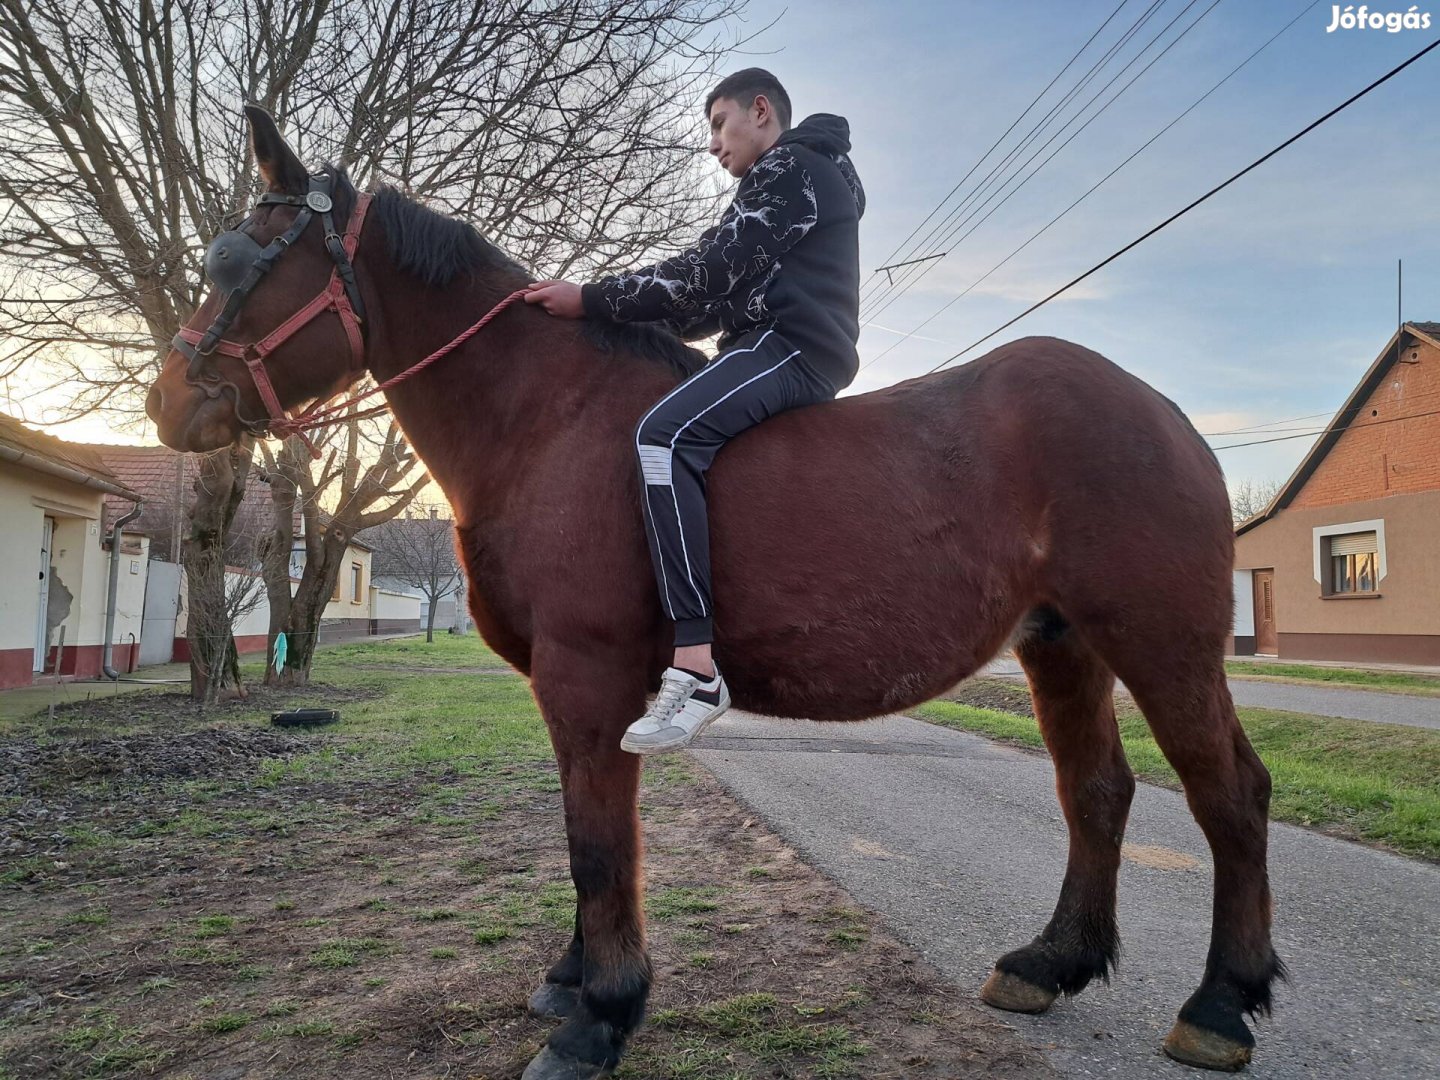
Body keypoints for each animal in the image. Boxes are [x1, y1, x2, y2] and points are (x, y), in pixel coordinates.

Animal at [149, 108, 1284, 1077]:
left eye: (247, 259)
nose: (168, 403)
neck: (546, 418)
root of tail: (1161, 410)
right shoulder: (574, 690)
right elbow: (585, 835)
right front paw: (574, 983)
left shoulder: (587, 673)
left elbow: (598, 847)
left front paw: (600, 1017)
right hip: (1062, 646)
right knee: (1097, 792)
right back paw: (1051, 963)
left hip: (1162, 644)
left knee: (1229, 793)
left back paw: (1221, 1005)